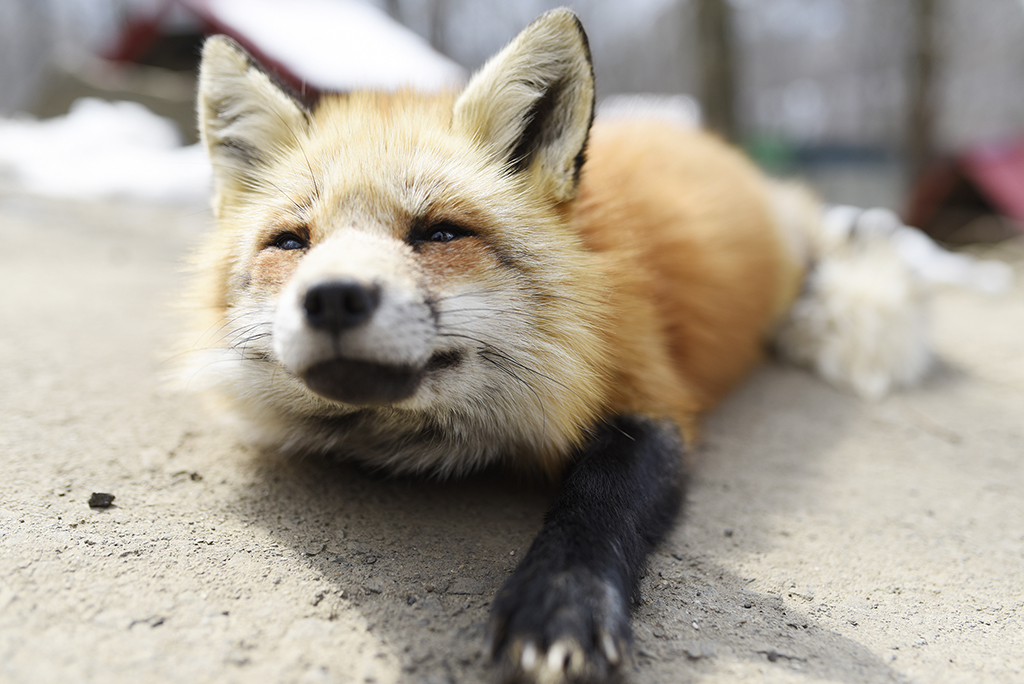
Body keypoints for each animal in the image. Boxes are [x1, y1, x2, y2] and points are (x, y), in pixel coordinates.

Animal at [188, 9, 934, 683]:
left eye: (440, 233)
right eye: (291, 242)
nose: (333, 297)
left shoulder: (653, 393)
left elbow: (598, 498)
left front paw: (562, 602)